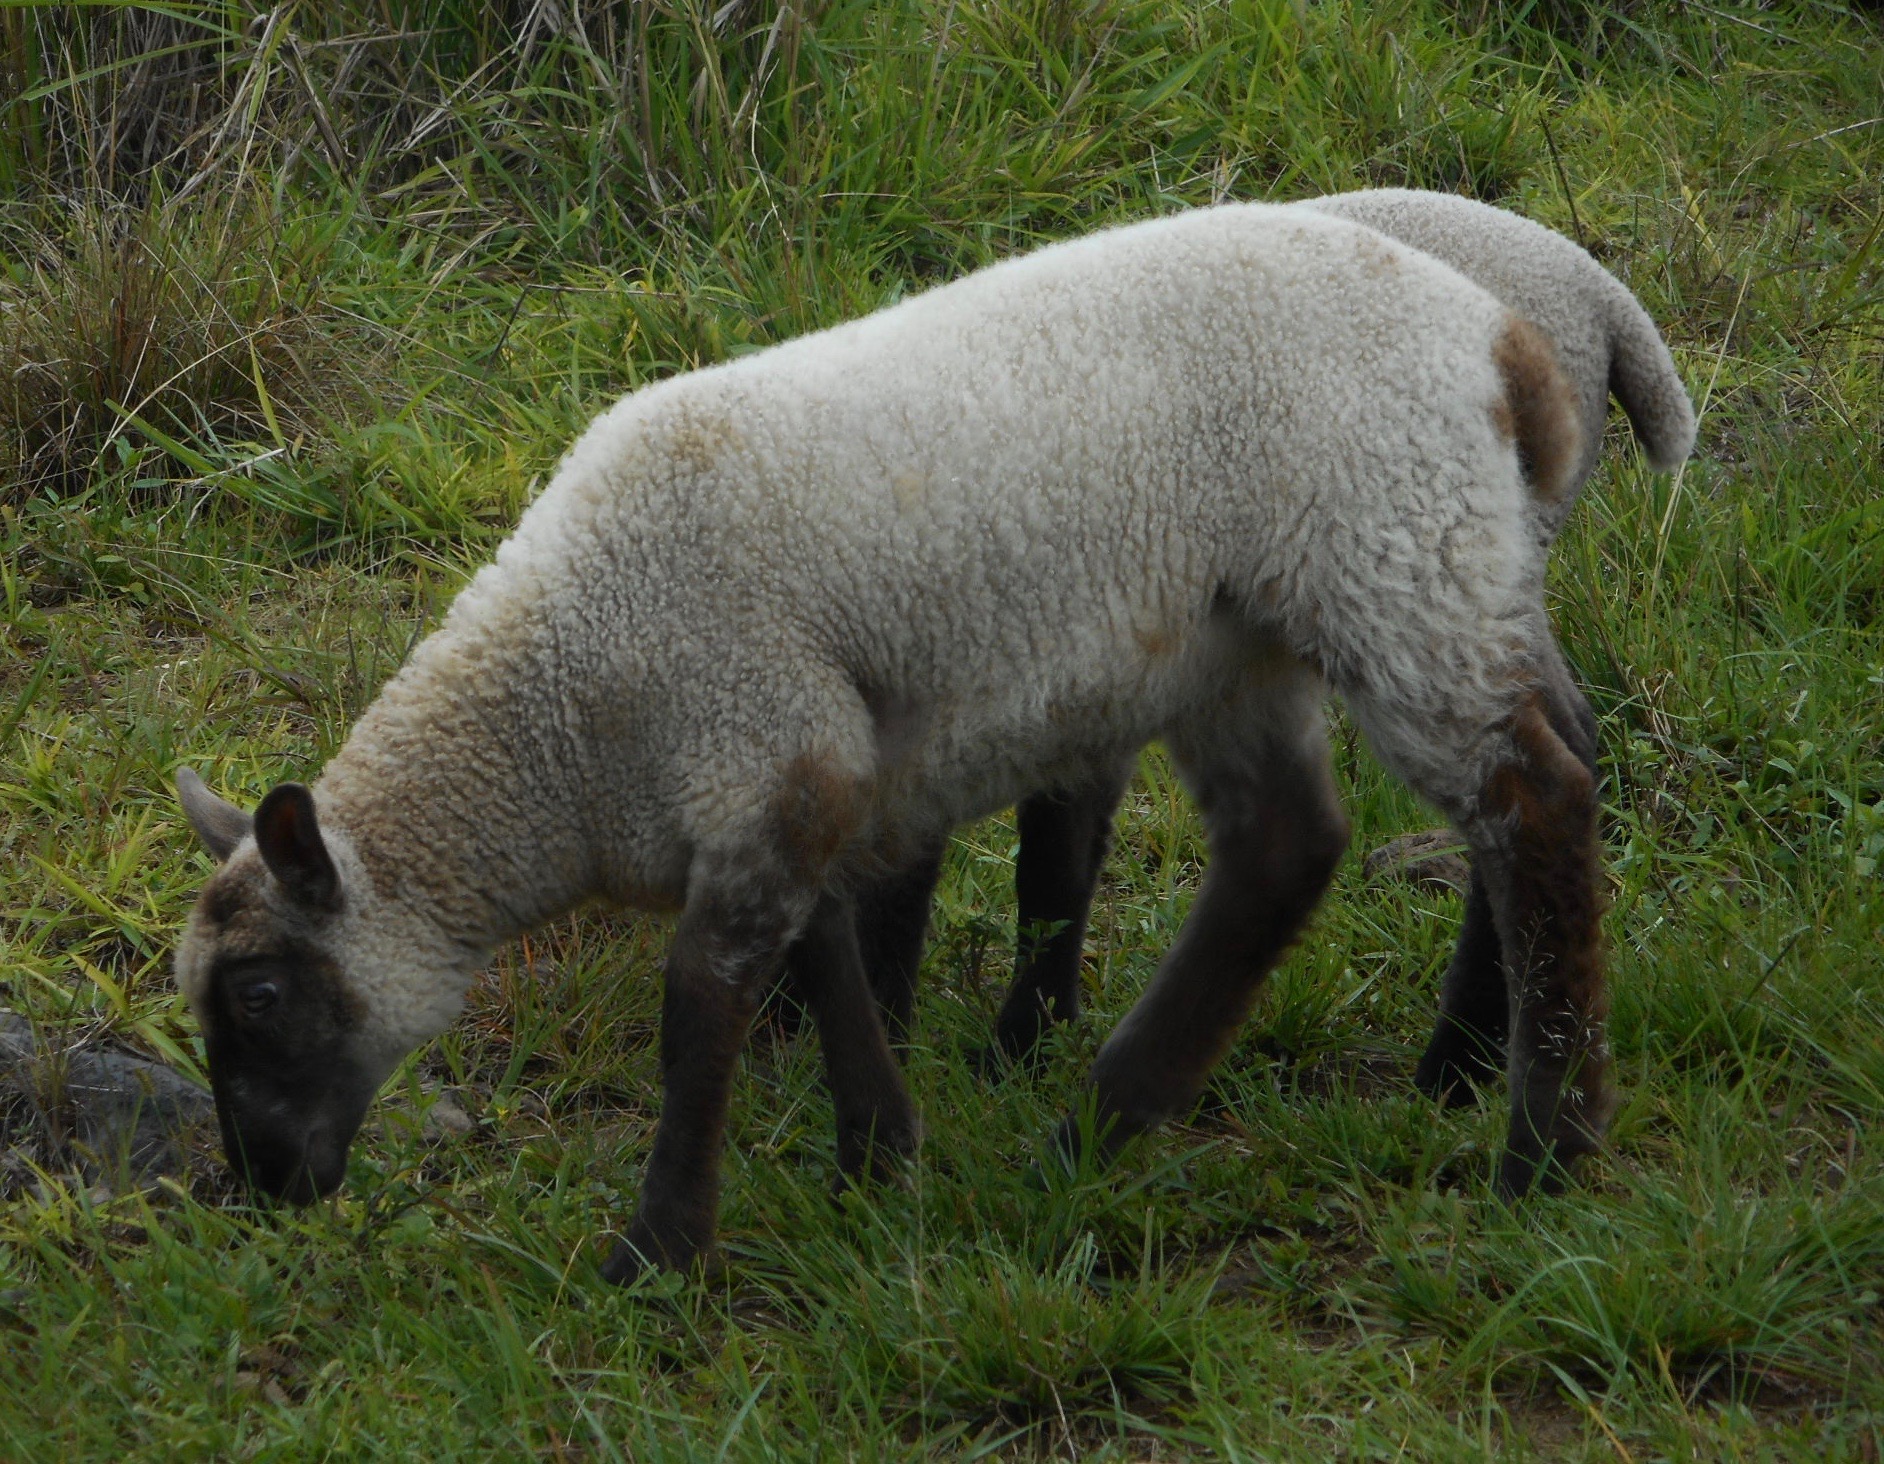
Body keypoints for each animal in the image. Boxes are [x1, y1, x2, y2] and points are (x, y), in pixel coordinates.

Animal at [177, 199, 1612, 1273]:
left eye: (259, 995)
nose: (259, 1183)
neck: (563, 727)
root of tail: (1502, 341)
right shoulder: (800, 774)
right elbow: (828, 958)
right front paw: (879, 1152)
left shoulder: (759, 735)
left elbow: (702, 1010)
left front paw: (660, 1255)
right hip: (1248, 637)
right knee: (1291, 848)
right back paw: (1114, 1122)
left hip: (1390, 553)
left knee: (1530, 803)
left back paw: (1545, 1149)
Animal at [855, 185, 1695, 1100]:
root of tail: (1600, 298)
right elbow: (1052, 854)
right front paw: (1026, 1037)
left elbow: (1012, 865)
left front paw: (990, 1045)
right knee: (1563, 738)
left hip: (1443, 558)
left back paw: (1456, 1062)